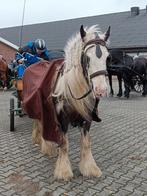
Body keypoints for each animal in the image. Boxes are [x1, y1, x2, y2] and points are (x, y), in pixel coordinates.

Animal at [32, 25, 110, 180]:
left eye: (107, 56)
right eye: (87, 57)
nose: (101, 90)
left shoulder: (87, 118)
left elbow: (86, 143)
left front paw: (89, 168)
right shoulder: (62, 119)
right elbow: (64, 143)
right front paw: (63, 170)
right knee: (40, 122)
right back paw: (44, 143)